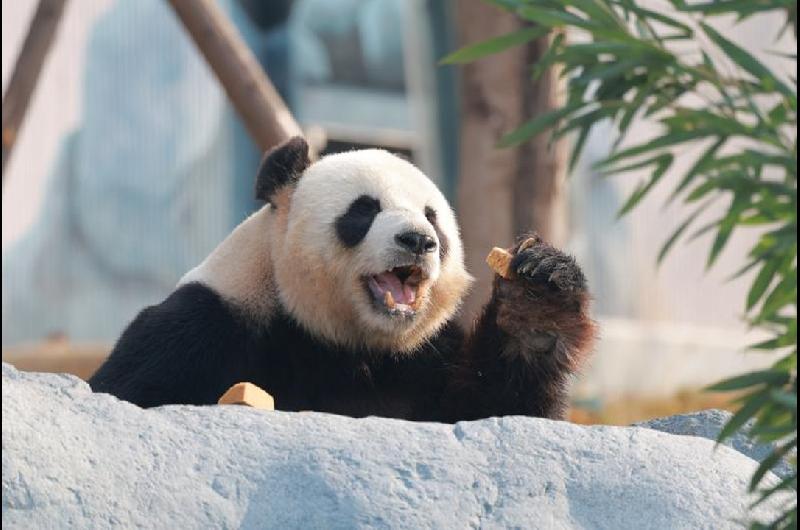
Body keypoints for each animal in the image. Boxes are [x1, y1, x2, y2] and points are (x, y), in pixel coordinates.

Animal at [89, 137, 597, 422]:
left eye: (432, 217)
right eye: (364, 210)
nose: (418, 240)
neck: (347, 342)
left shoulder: (426, 356)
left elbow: (498, 409)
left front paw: (537, 301)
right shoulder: (205, 325)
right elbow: (130, 390)